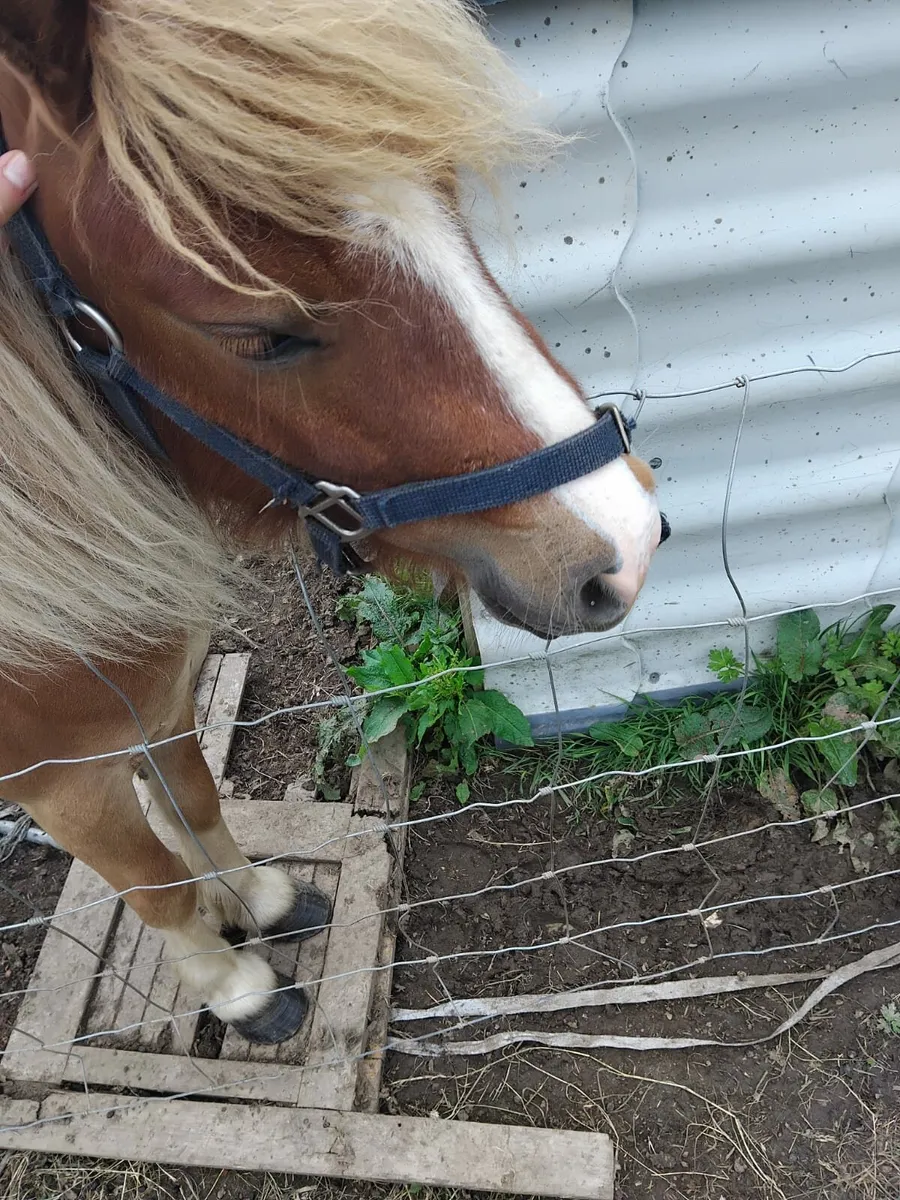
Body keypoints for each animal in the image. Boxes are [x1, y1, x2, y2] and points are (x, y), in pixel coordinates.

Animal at [0, 0, 662, 1045]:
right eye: (254, 335)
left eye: (450, 205)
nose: (624, 547)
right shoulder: (57, 775)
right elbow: (150, 882)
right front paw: (235, 985)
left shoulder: (158, 693)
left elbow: (191, 793)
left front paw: (253, 901)